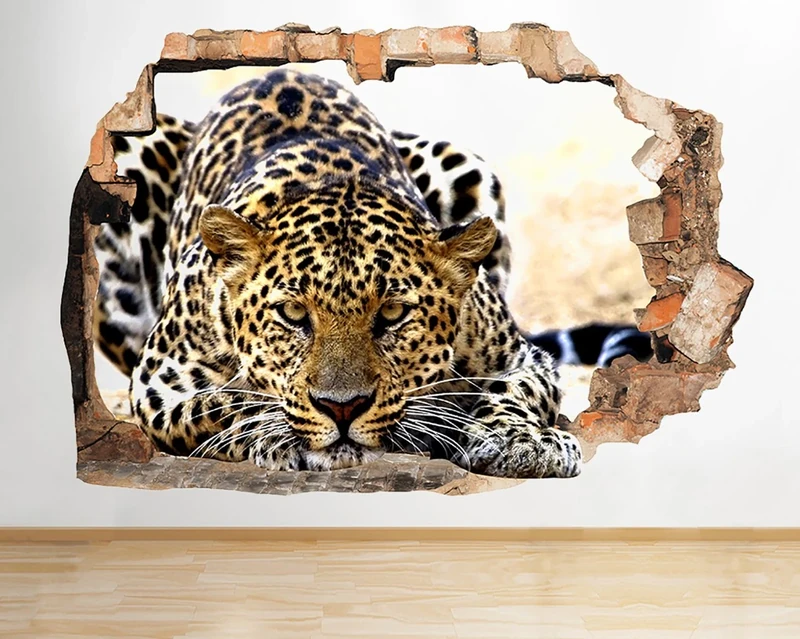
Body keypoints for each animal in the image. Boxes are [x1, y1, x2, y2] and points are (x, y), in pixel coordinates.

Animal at [94, 69, 652, 478]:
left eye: (393, 313)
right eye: (293, 313)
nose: (343, 409)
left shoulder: (520, 359)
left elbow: (510, 394)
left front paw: (525, 440)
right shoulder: (161, 383)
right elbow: (227, 401)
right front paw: (275, 432)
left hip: (464, 165)